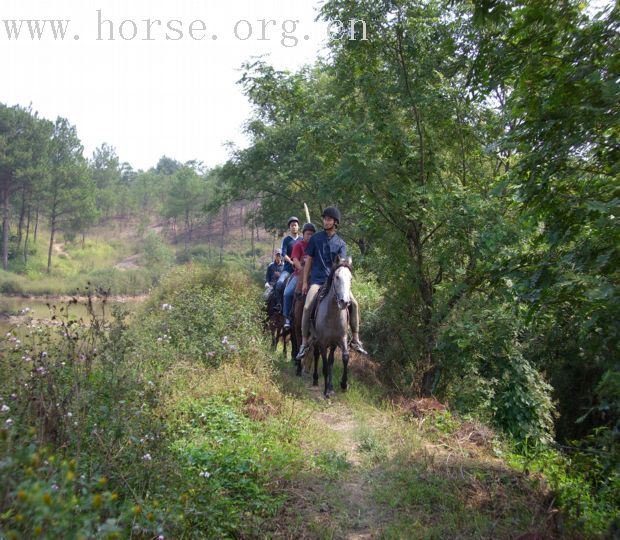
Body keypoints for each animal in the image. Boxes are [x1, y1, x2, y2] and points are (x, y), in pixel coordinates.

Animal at [308, 255, 352, 398]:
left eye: (350, 278)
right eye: (337, 277)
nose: (344, 302)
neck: (332, 315)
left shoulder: (340, 339)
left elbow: (344, 358)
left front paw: (343, 384)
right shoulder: (322, 342)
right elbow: (325, 365)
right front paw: (326, 391)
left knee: (330, 361)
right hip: (316, 341)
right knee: (317, 355)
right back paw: (316, 379)